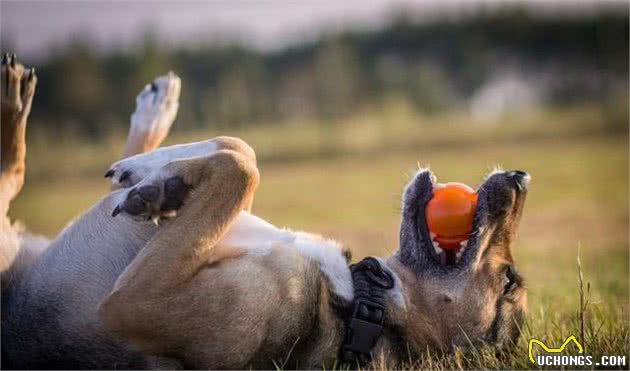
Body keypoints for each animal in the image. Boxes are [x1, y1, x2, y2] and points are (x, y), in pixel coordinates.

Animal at [1, 53, 528, 370]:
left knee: (12, 176)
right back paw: (155, 121)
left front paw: (155, 178)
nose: (521, 177)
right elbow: (240, 151)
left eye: (508, 282)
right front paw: (162, 182)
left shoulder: (133, 305)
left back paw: (15, 100)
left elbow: (242, 162)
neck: (362, 304)